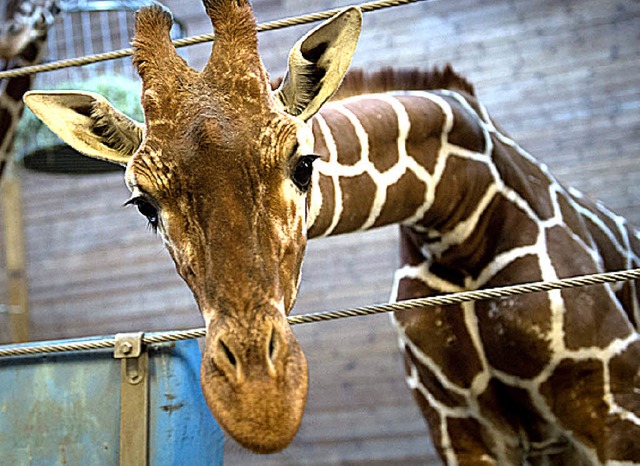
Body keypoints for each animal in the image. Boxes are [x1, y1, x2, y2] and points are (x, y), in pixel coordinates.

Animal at [22, 0, 636, 462]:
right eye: (144, 204)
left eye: (303, 164)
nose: (261, 403)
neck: (458, 219)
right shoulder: (459, 430)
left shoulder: (616, 411)